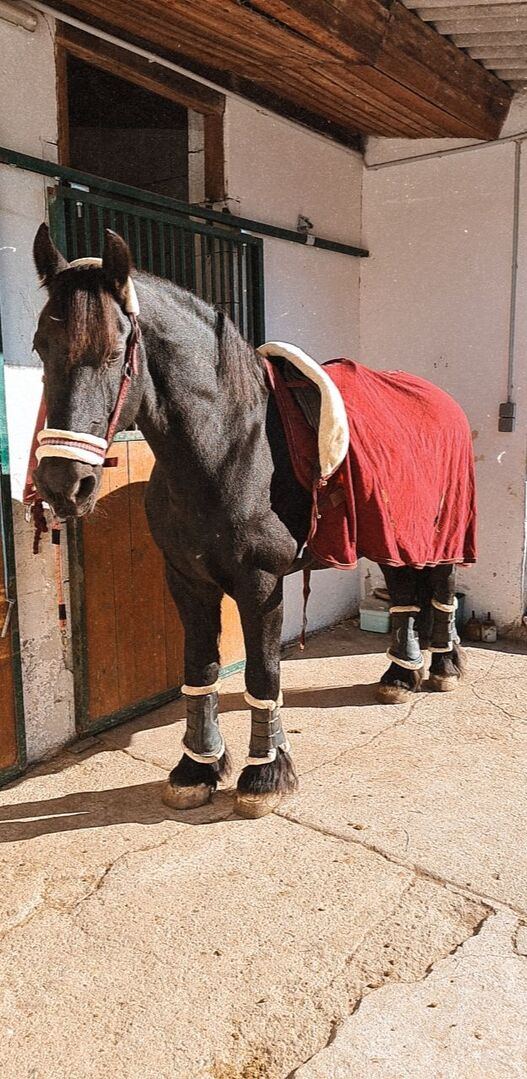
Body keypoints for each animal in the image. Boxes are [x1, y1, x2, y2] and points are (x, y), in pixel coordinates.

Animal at [31, 224, 474, 818]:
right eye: (40, 346)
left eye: (115, 353)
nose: (62, 483)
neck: (228, 449)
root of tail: (442, 401)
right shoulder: (187, 580)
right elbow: (199, 670)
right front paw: (196, 769)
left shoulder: (260, 584)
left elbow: (265, 674)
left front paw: (265, 775)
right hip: (390, 534)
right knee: (404, 592)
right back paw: (400, 675)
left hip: (440, 533)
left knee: (442, 589)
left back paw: (443, 668)